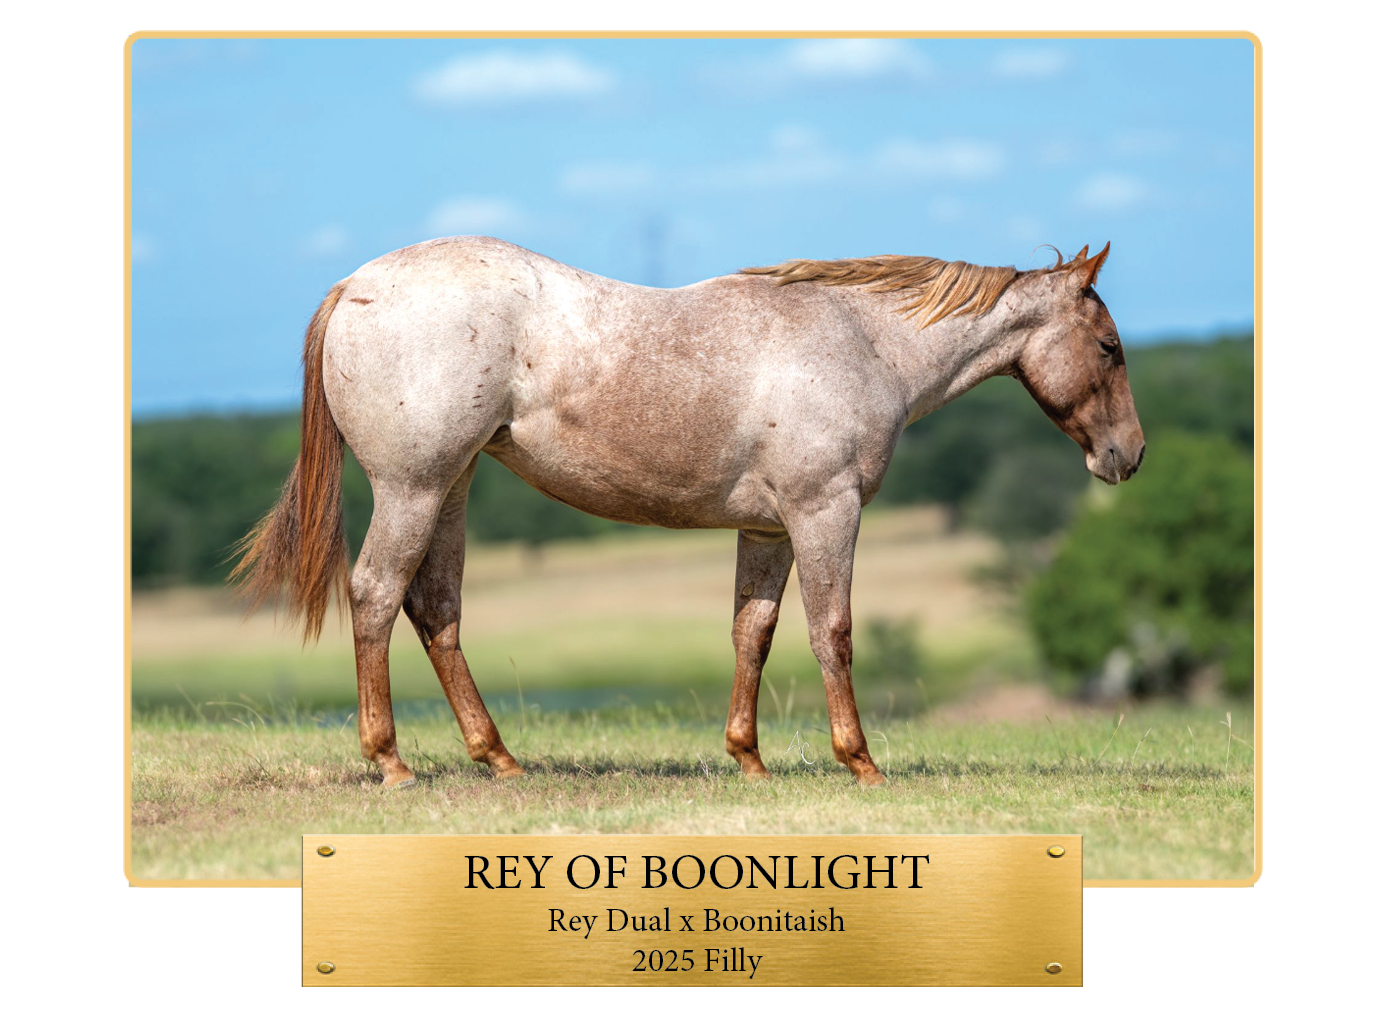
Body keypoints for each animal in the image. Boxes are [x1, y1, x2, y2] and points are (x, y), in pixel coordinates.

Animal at [232, 236, 1143, 788]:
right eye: (1108, 347)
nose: (1127, 456)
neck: (863, 340)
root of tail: (355, 285)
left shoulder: (768, 528)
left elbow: (753, 633)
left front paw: (748, 759)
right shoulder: (826, 512)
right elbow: (833, 631)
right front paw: (861, 763)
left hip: (449, 489)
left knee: (435, 609)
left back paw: (499, 758)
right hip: (413, 489)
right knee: (376, 596)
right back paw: (390, 761)